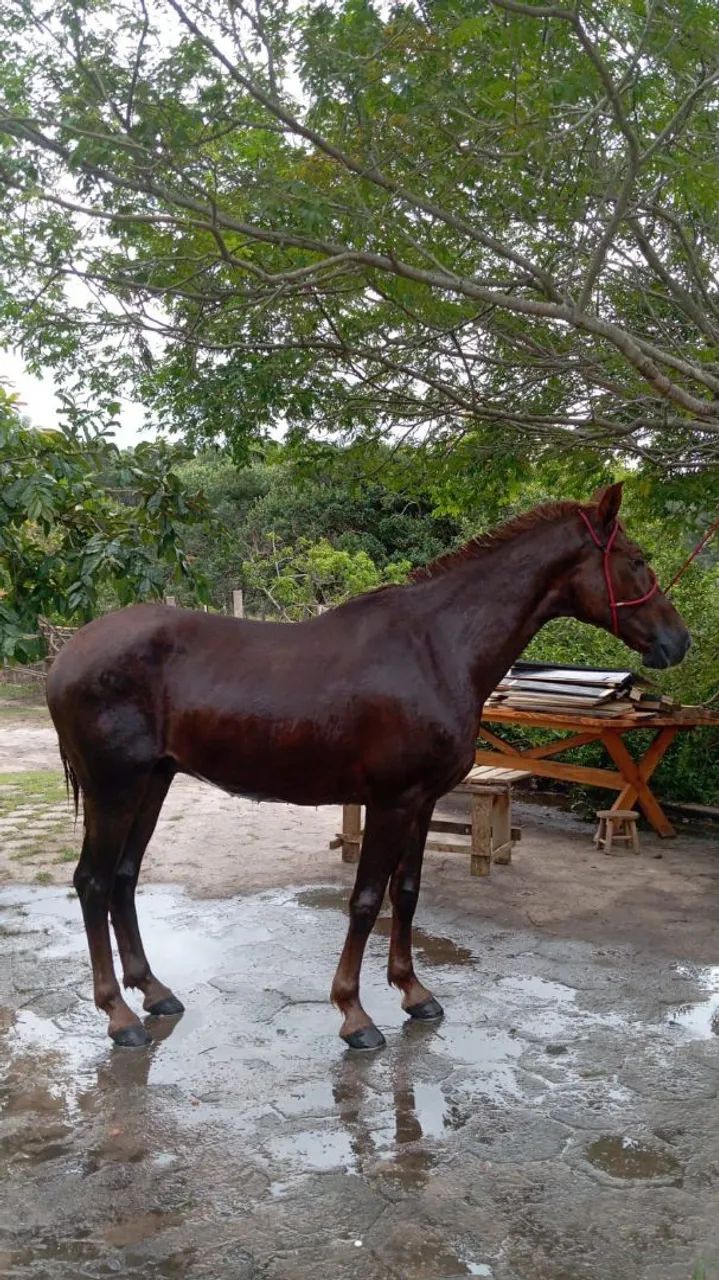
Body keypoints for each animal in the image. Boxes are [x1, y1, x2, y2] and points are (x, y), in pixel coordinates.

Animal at [46, 482, 690, 1052]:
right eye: (636, 561)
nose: (678, 642)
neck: (436, 649)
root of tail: (69, 654)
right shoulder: (390, 801)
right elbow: (364, 900)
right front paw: (354, 1014)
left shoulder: (424, 800)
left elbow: (406, 892)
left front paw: (414, 992)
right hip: (113, 789)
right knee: (93, 882)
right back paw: (118, 1015)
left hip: (152, 783)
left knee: (123, 878)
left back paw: (154, 992)